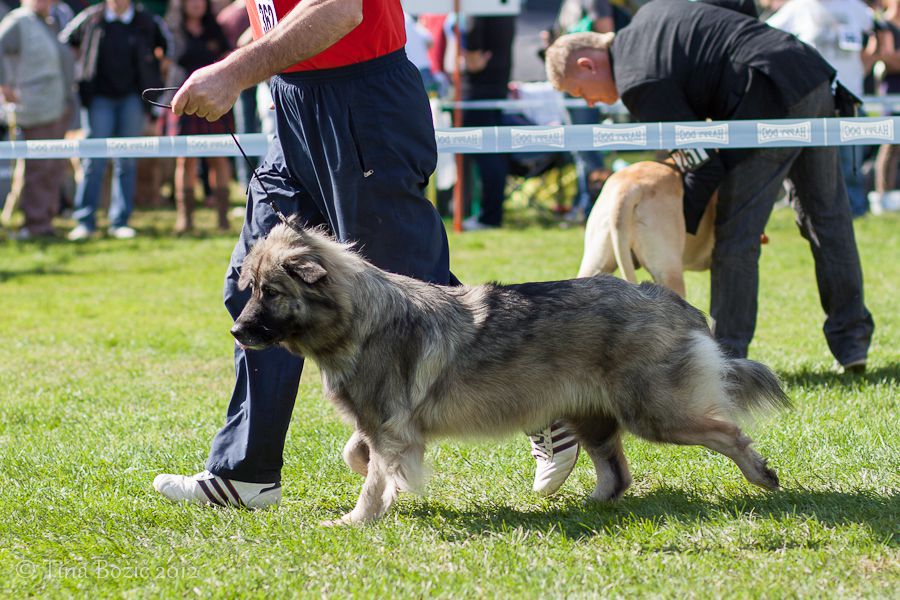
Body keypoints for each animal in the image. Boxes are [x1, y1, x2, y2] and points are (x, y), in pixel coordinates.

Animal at [232, 223, 788, 524]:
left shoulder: (389, 426)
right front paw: (389, 489)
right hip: (594, 416)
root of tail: (673, 303)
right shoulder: (387, 428)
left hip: (655, 413)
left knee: (729, 433)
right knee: (617, 474)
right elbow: (361, 456)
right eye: (251, 288)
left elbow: (373, 476)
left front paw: (357, 518)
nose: (238, 331)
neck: (358, 319)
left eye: (271, 292)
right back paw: (584, 505)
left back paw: (762, 475)